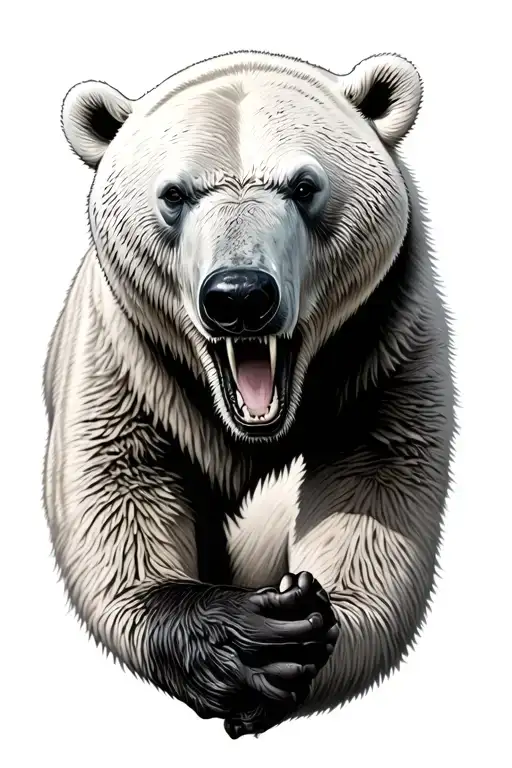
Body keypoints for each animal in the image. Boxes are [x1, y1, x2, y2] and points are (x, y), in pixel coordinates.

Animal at [43, 50, 455, 739]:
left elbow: (375, 489)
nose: (239, 296)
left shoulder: (386, 342)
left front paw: (304, 620)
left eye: (304, 186)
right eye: (175, 194)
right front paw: (245, 643)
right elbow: (118, 492)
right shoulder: (127, 354)